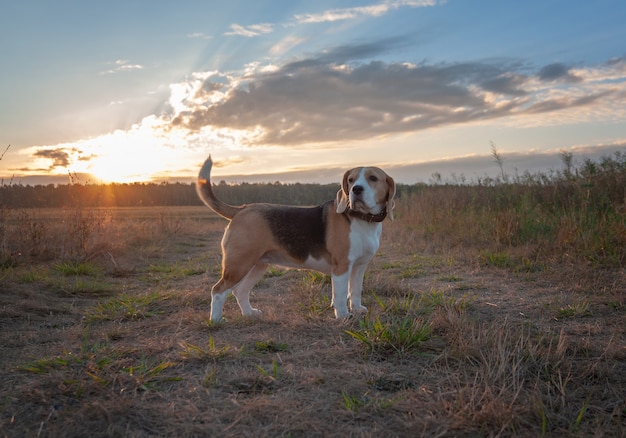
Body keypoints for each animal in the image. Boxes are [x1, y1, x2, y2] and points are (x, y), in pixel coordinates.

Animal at [196, 157, 394, 322]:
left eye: (373, 178)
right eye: (351, 180)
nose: (356, 190)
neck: (362, 219)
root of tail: (242, 209)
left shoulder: (360, 266)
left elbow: (355, 290)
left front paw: (358, 308)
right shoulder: (342, 267)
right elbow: (340, 294)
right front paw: (343, 315)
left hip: (258, 265)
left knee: (240, 290)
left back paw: (249, 313)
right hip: (239, 264)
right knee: (218, 291)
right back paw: (216, 320)